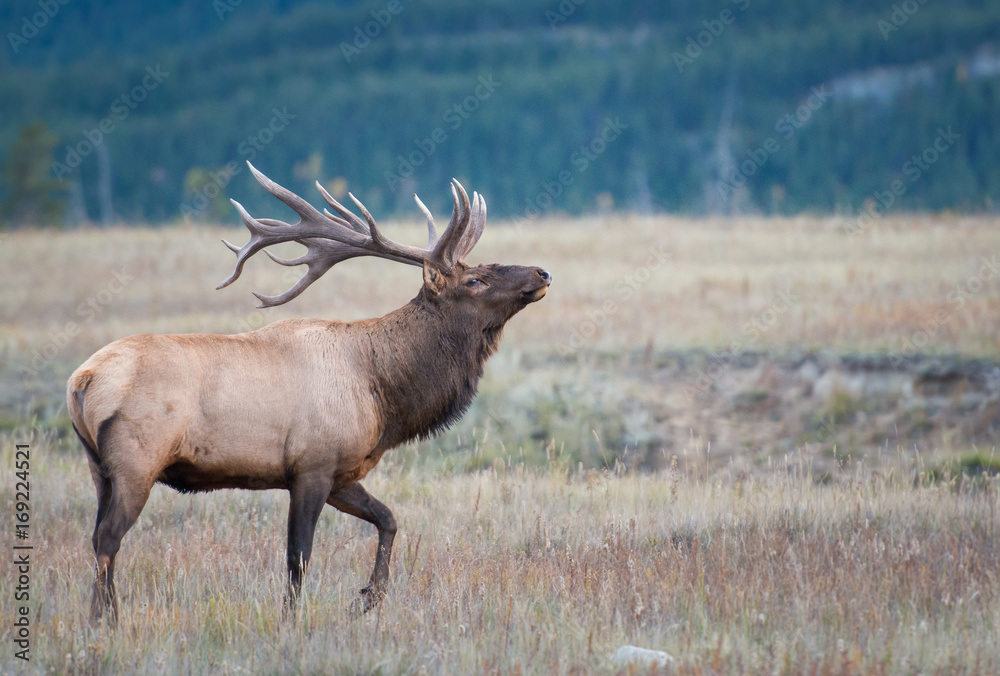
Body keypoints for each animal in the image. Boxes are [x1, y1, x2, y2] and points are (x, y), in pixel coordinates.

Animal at [67, 162, 551, 625]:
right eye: (475, 281)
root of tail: (81, 380)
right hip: (137, 460)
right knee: (108, 538)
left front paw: (368, 598)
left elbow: (389, 519)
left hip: (98, 467)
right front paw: (292, 623)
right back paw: (104, 624)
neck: (382, 396)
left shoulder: (342, 472)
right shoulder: (311, 465)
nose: (542, 271)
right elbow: (298, 558)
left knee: (96, 537)